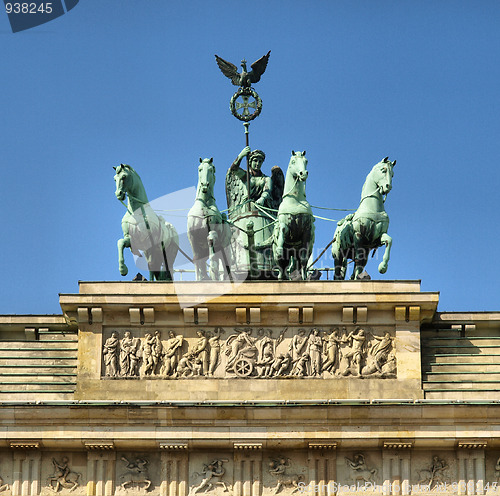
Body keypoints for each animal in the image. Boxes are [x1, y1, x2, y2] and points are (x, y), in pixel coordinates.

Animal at [272, 151, 314, 280]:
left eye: (306, 161)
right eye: (293, 161)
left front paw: (304, 278)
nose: (303, 173)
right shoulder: (285, 224)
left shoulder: (307, 230)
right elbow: (282, 232)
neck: (295, 200)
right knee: (282, 269)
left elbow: (304, 260)